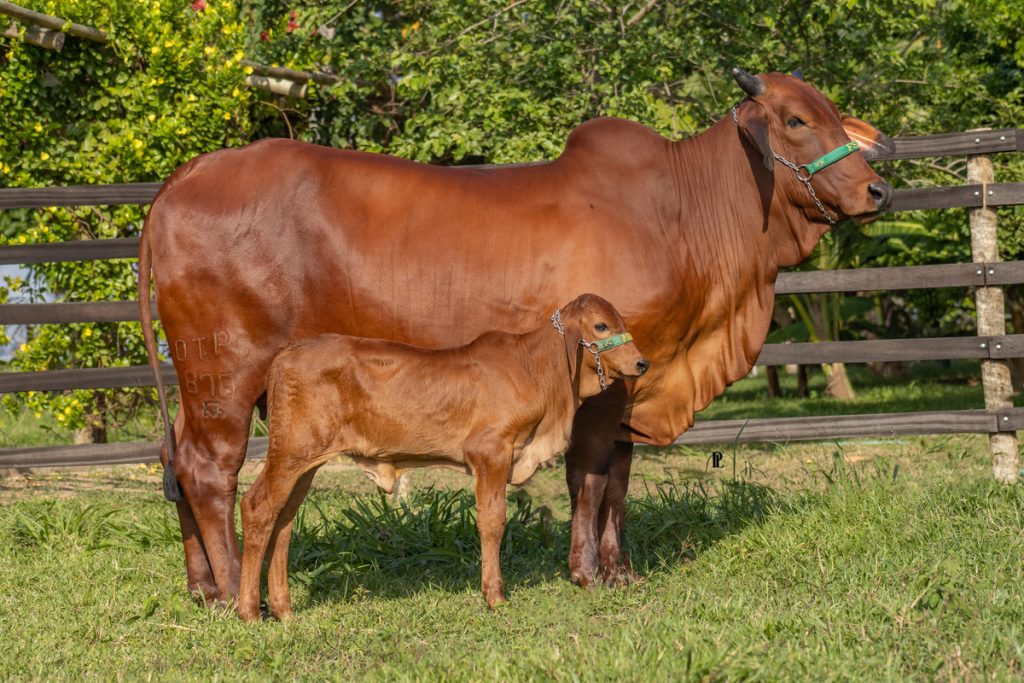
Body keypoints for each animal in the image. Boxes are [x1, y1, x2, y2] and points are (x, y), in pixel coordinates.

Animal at [238, 294, 647, 618]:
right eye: (601, 325)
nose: (642, 363)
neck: (537, 370)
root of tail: (288, 353)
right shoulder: (491, 452)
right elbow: (492, 521)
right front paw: (495, 596)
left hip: (305, 463)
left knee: (284, 520)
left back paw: (284, 609)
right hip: (289, 454)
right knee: (258, 508)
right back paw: (250, 611)